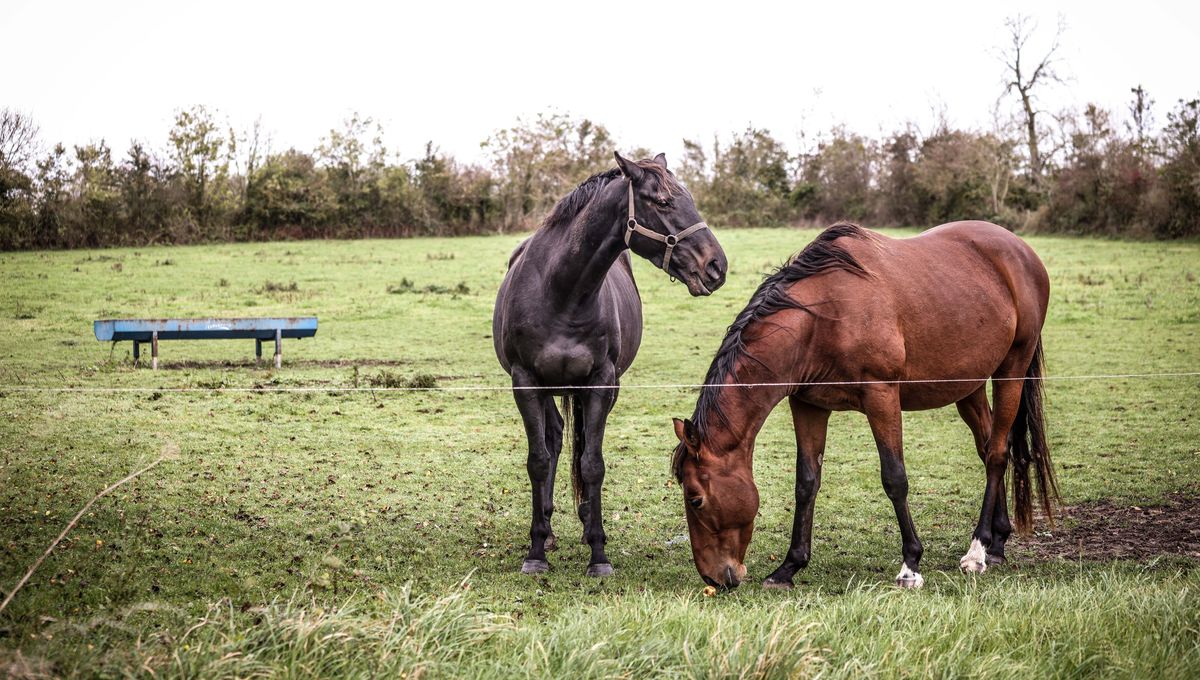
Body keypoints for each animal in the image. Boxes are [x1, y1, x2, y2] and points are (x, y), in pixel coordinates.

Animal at [492, 151, 724, 578]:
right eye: (662, 202)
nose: (716, 266)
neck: (562, 291)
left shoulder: (601, 383)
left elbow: (593, 464)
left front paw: (598, 552)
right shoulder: (526, 381)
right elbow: (538, 460)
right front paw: (536, 551)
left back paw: (585, 525)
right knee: (554, 439)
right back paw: (548, 527)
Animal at [676, 221, 1060, 590]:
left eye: (695, 498)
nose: (713, 577)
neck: (822, 319)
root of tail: (1021, 250)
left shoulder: (882, 397)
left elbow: (895, 478)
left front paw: (911, 565)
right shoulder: (808, 405)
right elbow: (806, 483)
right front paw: (789, 567)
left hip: (1011, 371)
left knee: (996, 454)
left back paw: (978, 551)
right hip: (969, 386)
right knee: (990, 447)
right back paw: (997, 542)